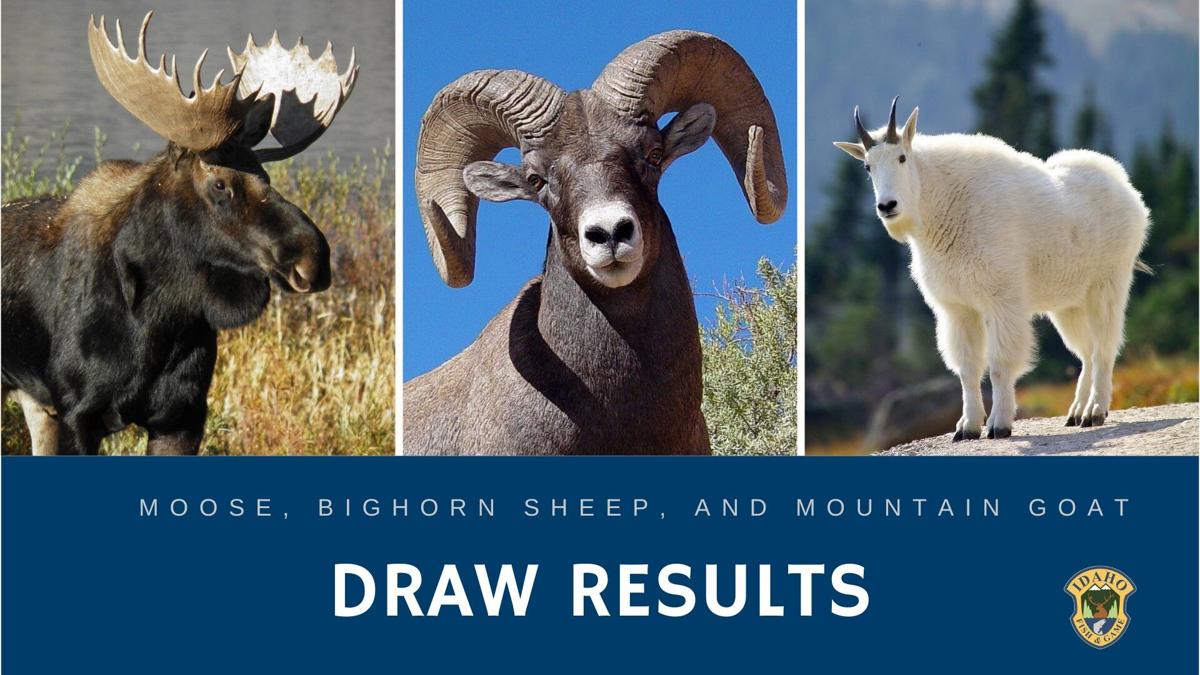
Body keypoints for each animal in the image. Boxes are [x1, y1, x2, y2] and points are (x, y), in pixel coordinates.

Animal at [1, 12, 358, 454]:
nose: (314, 258)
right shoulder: (76, 414)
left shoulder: (183, 413)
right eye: (220, 184)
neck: (158, 319)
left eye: (266, 175)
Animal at [834, 98, 1149, 440]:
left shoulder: (1002, 300)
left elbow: (999, 364)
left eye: (902, 157)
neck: (942, 204)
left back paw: (1095, 412)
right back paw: (1076, 412)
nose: (887, 206)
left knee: (1104, 347)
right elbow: (968, 368)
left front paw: (999, 425)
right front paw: (967, 427)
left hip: (1107, 284)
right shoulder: (958, 308)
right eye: (868, 167)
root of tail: (1128, 190)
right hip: (1069, 303)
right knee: (1087, 351)